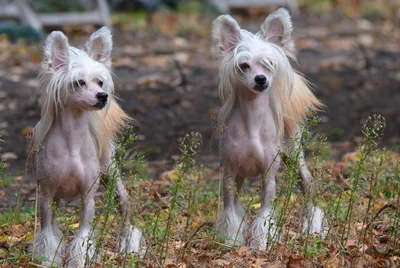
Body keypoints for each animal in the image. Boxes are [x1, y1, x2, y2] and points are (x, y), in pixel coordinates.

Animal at [29, 26, 145, 266]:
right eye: (79, 82)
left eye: (100, 82)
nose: (103, 96)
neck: (72, 142)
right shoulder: (46, 196)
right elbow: (48, 234)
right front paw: (47, 260)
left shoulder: (88, 197)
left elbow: (83, 237)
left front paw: (80, 260)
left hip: (110, 170)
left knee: (125, 205)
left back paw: (128, 244)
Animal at [212, 8, 328, 249]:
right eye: (244, 65)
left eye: (269, 64)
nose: (261, 79)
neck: (253, 124)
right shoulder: (229, 173)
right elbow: (230, 210)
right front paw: (231, 240)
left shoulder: (269, 175)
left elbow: (265, 212)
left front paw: (262, 244)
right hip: (241, 175)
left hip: (294, 153)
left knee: (307, 184)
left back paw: (312, 227)